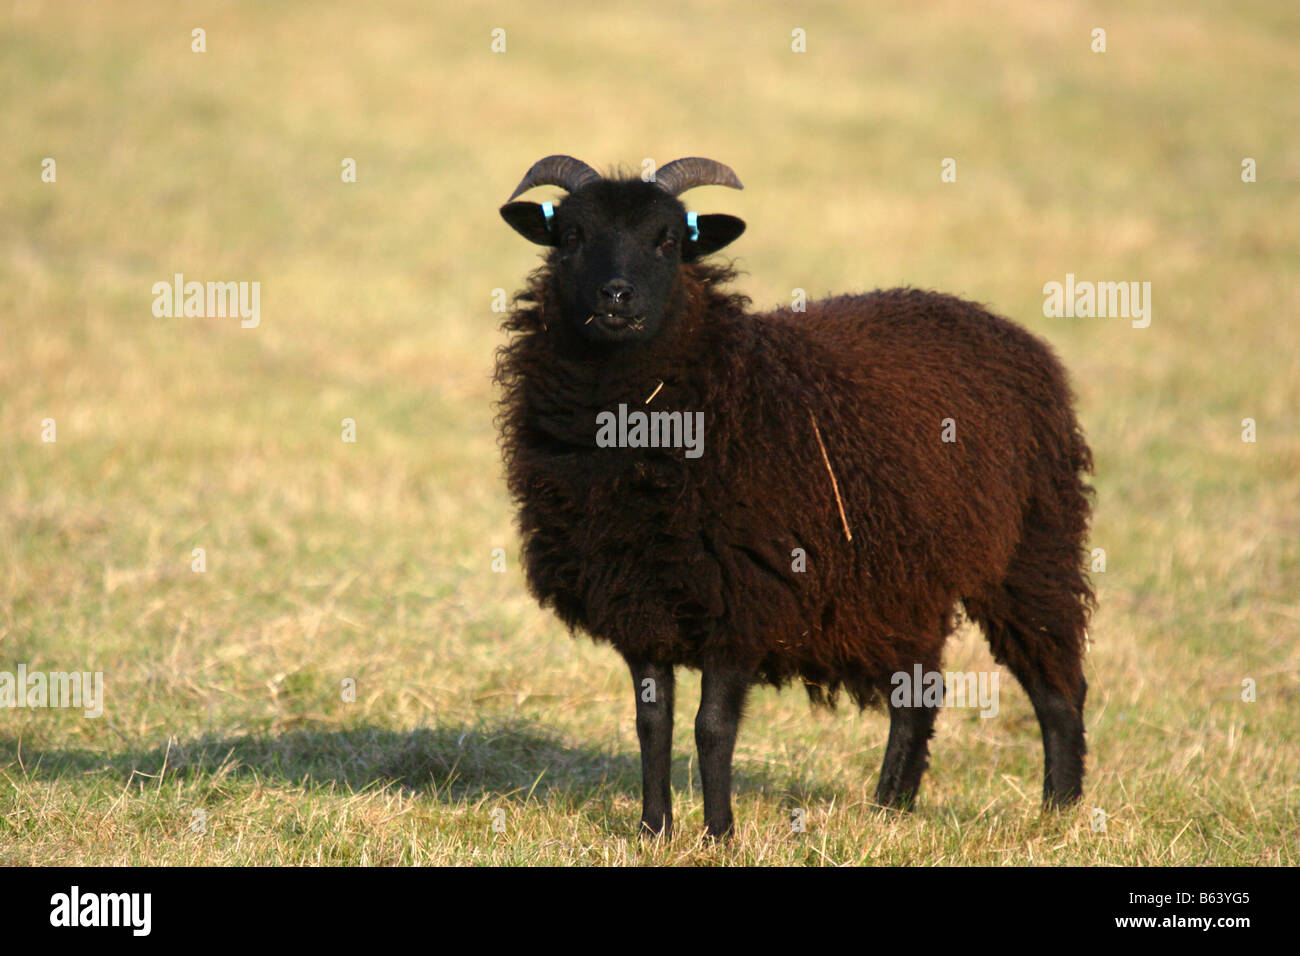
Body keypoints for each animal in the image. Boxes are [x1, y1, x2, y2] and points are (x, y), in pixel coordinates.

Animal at [496, 155, 1097, 837]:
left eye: (669, 239)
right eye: (570, 235)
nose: (616, 295)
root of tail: (1006, 328)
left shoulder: (744, 594)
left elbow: (712, 727)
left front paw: (719, 834)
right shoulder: (636, 596)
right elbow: (653, 724)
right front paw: (654, 830)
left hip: (1033, 549)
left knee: (1056, 687)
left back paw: (1059, 812)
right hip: (903, 576)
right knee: (918, 694)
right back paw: (890, 808)